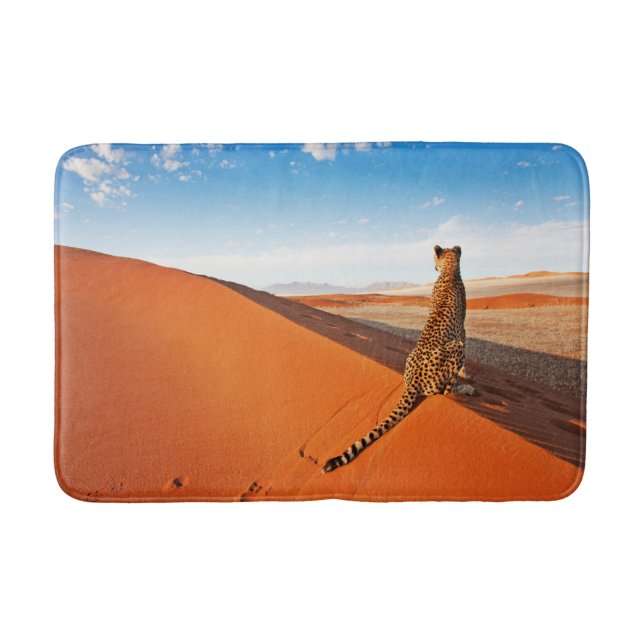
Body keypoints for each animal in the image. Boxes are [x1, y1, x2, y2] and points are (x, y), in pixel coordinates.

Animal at [322, 245, 474, 473]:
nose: (433, 266)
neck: (449, 272)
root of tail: (414, 380)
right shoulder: (462, 333)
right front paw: (467, 376)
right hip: (455, 348)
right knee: (444, 392)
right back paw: (466, 390)